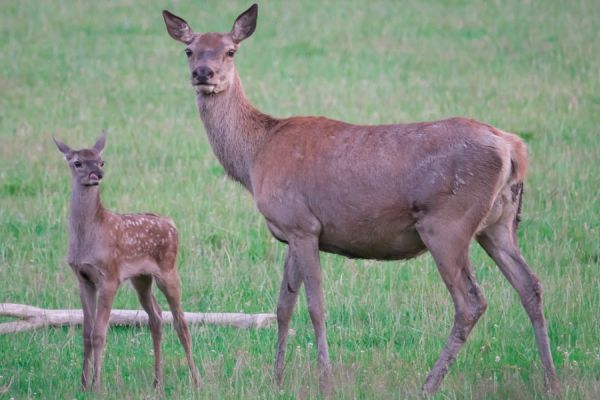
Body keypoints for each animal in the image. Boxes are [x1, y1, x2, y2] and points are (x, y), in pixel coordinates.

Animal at [54, 134, 199, 390]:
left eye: (101, 161)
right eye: (77, 162)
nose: (97, 175)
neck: (89, 236)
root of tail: (172, 224)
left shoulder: (109, 276)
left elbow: (99, 332)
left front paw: (96, 385)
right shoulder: (83, 278)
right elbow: (86, 332)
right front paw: (82, 384)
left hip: (169, 269)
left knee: (181, 322)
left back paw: (196, 380)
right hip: (141, 278)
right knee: (156, 317)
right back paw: (156, 381)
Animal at [162, 4, 560, 396]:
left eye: (231, 50)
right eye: (189, 50)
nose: (203, 73)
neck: (255, 156)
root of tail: (513, 147)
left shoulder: (302, 224)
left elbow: (315, 306)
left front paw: (325, 380)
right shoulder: (290, 230)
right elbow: (283, 305)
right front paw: (276, 380)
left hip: (448, 224)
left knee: (471, 302)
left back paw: (427, 384)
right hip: (498, 223)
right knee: (530, 285)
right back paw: (551, 381)